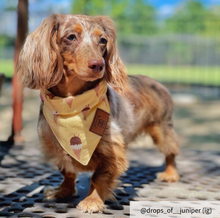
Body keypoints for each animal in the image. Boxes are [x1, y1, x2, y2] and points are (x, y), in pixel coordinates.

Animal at [16, 14, 179, 213]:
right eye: (71, 37)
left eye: (103, 40)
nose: (98, 65)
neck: (71, 105)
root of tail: (157, 83)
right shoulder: (56, 145)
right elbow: (67, 172)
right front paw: (63, 191)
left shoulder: (111, 151)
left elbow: (99, 177)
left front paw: (92, 201)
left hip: (162, 129)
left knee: (170, 152)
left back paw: (170, 173)